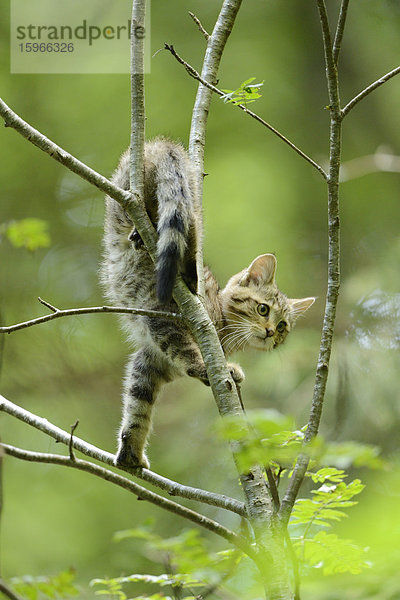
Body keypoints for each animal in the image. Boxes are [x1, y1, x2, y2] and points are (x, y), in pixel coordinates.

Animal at [101, 138, 316, 466]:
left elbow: (137, 405)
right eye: (262, 309)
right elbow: (186, 355)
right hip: (174, 206)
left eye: (283, 327)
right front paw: (207, 368)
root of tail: (158, 144)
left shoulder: (149, 361)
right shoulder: (162, 318)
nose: (270, 333)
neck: (225, 331)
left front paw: (130, 451)